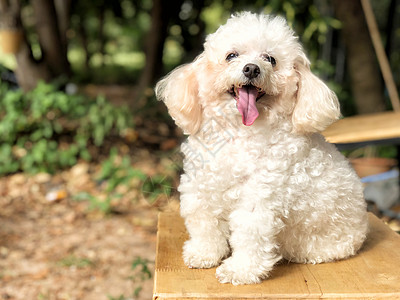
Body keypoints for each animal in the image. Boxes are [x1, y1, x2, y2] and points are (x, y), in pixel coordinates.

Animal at [155, 12, 368, 286]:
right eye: (231, 55)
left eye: (270, 59)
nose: (251, 68)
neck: (239, 133)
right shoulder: (203, 186)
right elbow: (205, 224)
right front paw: (204, 254)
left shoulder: (259, 199)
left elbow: (249, 234)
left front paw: (240, 270)